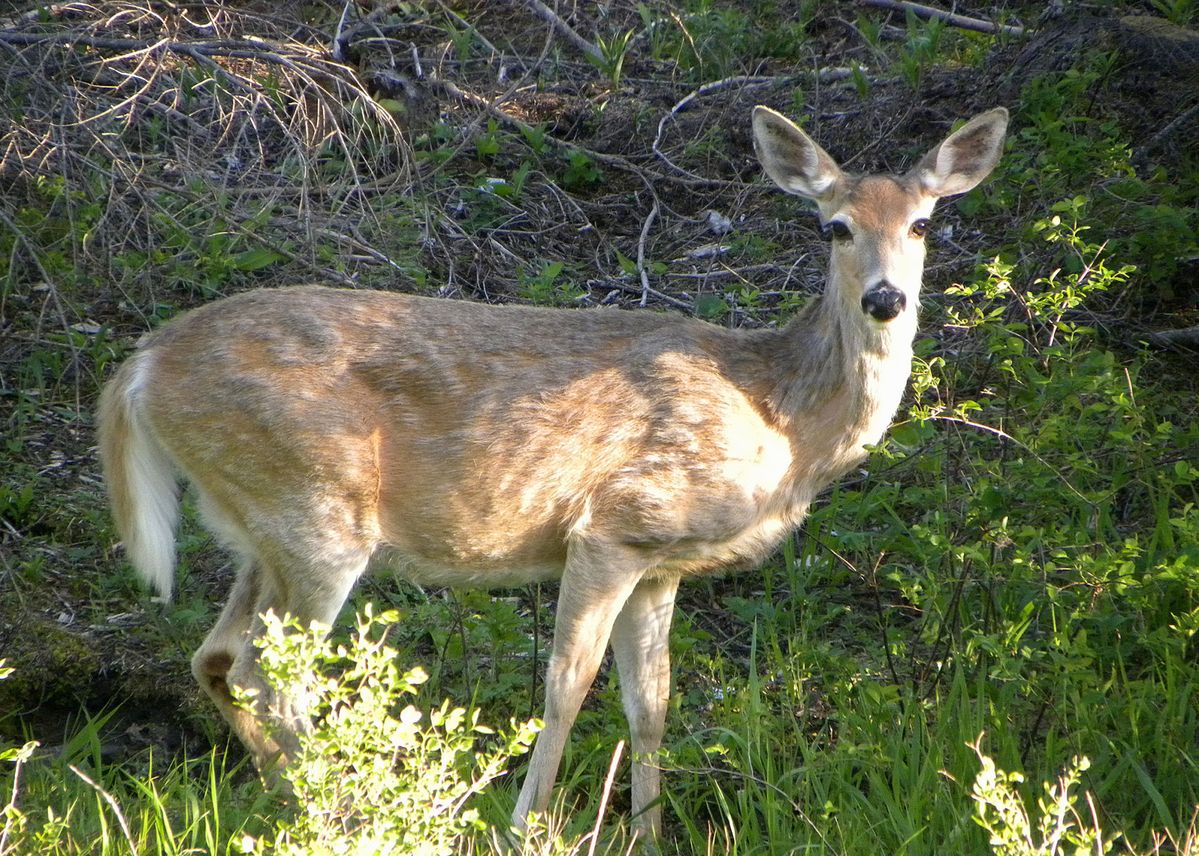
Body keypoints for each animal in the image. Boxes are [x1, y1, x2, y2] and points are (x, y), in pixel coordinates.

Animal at [97, 104, 1007, 842]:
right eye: (834, 227)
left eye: (922, 225)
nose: (885, 299)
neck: (779, 418)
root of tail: (142, 365)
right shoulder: (614, 526)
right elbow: (567, 685)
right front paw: (526, 825)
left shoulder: (661, 559)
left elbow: (651, 702)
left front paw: (645, 834)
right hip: (315, 511)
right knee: (268, 674)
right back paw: (343, 813)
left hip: (262, 529)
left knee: (216, 657)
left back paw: (291, 801)